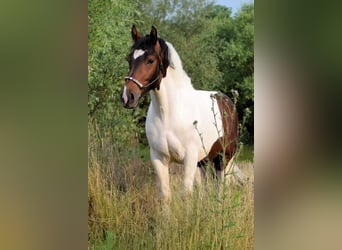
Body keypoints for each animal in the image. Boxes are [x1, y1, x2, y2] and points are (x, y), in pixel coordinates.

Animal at [121, 24, 244, 201]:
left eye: (150, 60)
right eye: (129, 59)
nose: (127, 97)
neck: (169, 113)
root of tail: (227, 101)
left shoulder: (189, 158)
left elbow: (185, 193)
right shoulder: (159, 158)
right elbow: (165, 194)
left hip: (223, 158)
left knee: (221, 187)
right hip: (204, 161)